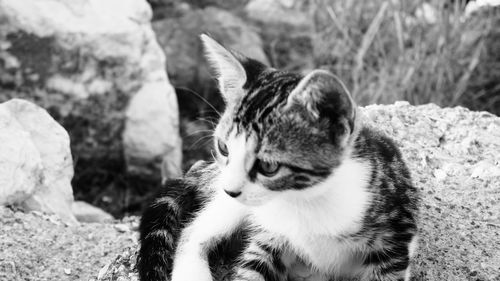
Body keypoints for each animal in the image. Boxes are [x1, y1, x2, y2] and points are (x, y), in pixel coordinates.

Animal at [136, 35, 418, 280]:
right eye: (224, 147)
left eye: (268, 166)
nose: (230, 190)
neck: (304, 200)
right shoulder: (268, 234)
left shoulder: (394, 236)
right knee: (193, 230)